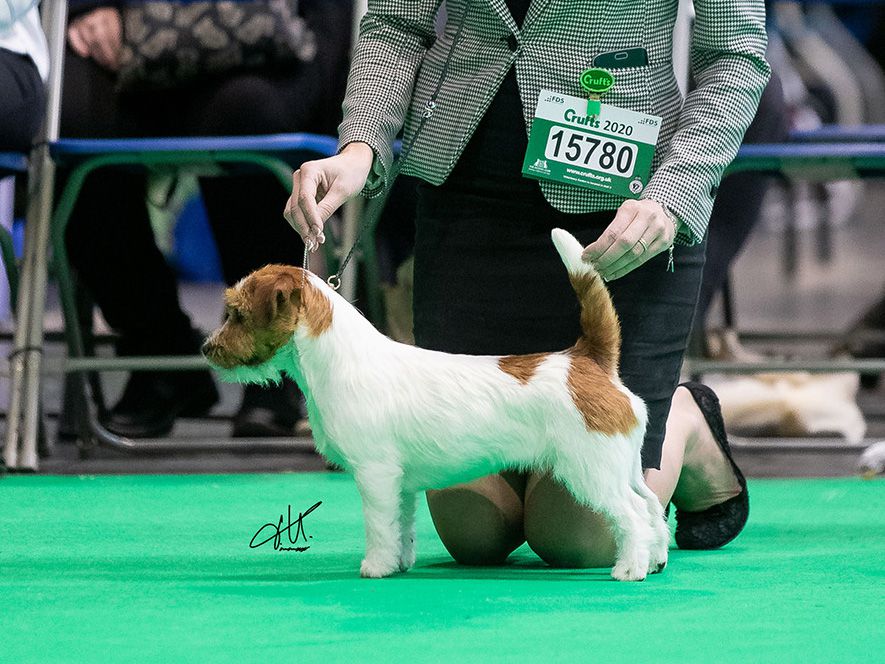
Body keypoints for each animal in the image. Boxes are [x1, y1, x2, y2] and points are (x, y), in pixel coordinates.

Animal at [202, 228, 668, 580]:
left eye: (238, 314)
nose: (207, 349)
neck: (340, 358)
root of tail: (588, 360)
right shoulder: (400, 483)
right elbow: (402, 523)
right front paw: (400, 562)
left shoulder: (374, 474)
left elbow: (378, 524)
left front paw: (375, 567)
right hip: (622, 465)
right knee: (650, 506)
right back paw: (656, 559)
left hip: (591, 470)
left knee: (630, 514)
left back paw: (630, 569)